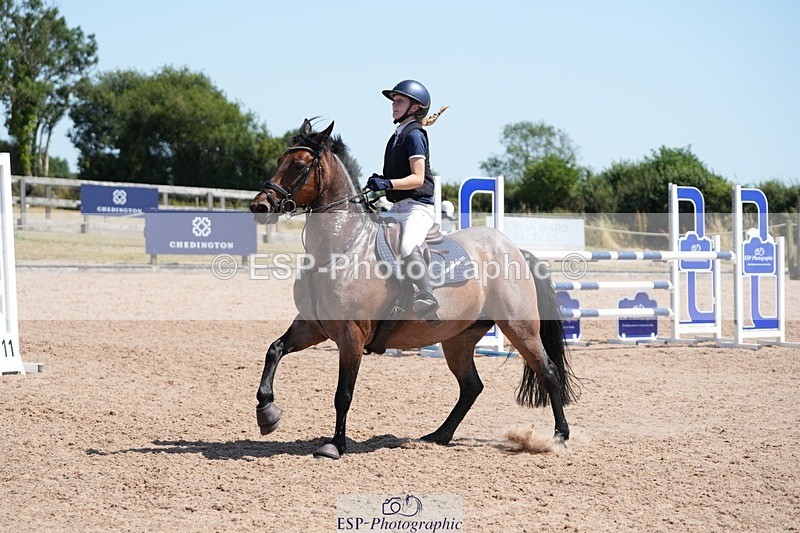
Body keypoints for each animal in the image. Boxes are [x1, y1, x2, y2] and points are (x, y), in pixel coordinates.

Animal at [249, 119, 578, 459]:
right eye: (279, 160)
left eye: (299, 165)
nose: (259, 205)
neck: (343, 246)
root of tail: (513, 249)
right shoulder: (313, 326)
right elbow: (274, 350)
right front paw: (267, 413)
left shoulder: (351, 336)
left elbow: (343, 394)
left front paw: (335, 445)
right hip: (458, 339)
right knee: (471, 386)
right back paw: (439, 435)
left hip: (520, 327)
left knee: (548, 371)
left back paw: (559, 436)